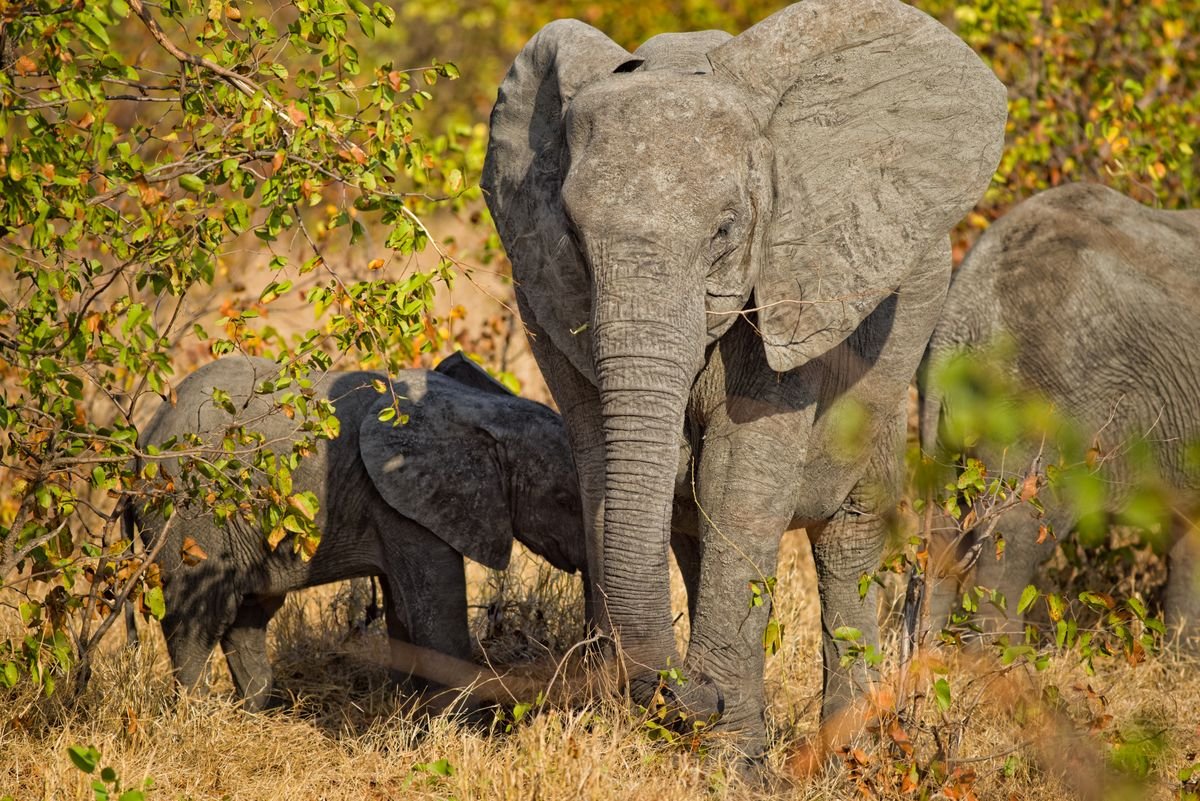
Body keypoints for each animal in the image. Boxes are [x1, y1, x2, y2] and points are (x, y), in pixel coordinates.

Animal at [131, 353, 586, 710]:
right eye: (564, 499)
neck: (485, 411)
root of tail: (141, 443)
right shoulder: (401, 501)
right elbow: (436, 614)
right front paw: (466, 728)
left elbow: (404, 611)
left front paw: (410, 710)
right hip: (188, 515)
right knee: (198, 618)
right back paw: (197, 716)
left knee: (249, 616)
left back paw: (257, 713)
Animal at [482, 0, 1006, 754]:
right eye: (575, 239)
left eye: (726, 232)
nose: (687, 691)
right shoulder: (543, 297)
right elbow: (606, 475)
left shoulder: (796, 271)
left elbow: (739, 487)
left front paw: (730, 758)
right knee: (687, 524)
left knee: (848, 532)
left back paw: (850, 752)